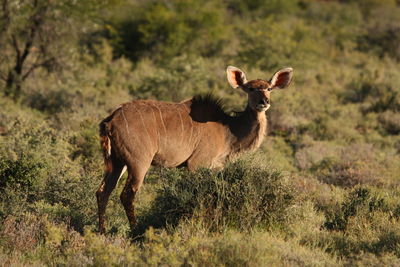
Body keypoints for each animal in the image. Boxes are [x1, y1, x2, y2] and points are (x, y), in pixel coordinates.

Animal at [95, 66, 292, 233]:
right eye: (250, 88)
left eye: (269, 88)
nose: (264, 102)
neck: (228, 130)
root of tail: (110, 120)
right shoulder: (196, 164)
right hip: (139, 162)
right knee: (127, 195)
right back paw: (135, 231)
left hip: (117, 162)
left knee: (102, 192)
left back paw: (102, 231)